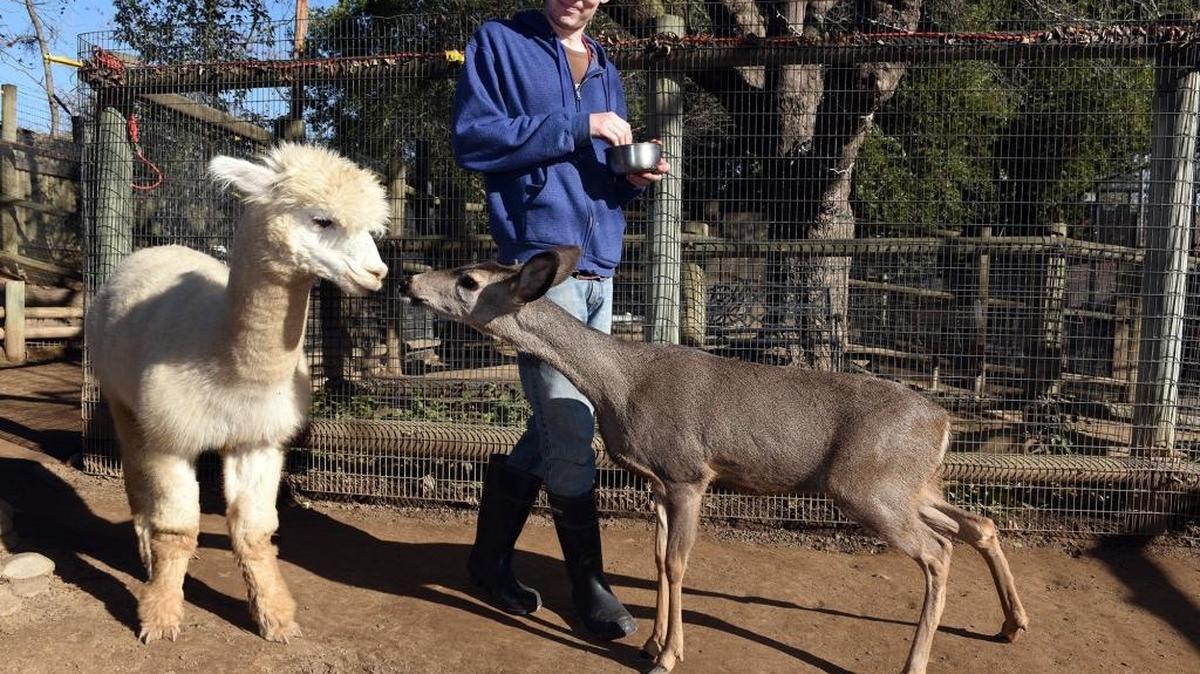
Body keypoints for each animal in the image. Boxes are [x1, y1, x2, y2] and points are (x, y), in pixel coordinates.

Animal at [398, 245, 1028, 674]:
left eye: (468, 279)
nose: (409, 280)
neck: (619, 384)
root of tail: (944, 424)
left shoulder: (689, 472)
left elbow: (678, 565)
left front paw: (667, 656)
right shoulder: (655, 480)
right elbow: (657, 561)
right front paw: (652, 641)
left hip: (866, 486)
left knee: (939, 550)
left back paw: (915, 662)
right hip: (913, 485)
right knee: (979, 523)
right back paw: (1011, 624)